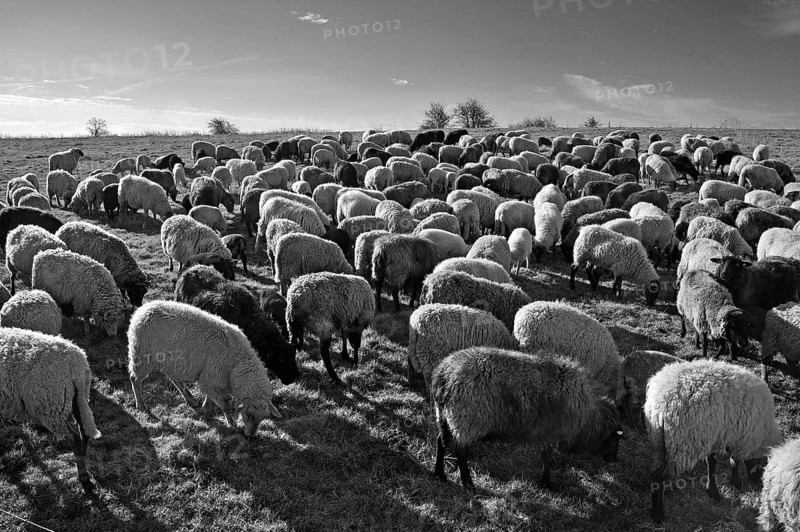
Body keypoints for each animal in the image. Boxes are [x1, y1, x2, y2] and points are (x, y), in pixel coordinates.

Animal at [0, 328, 101, 495]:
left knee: (74, 437)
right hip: (79, 398)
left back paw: (84, 478)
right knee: (84, 431)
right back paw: (81, 463)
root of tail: (76, 366)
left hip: (54, 405)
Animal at [128, 300, 281, 435]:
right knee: (135, 379)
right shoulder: (210, 379)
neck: (237, 362)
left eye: (263, 418)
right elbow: (224, 405)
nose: (249, 436)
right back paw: (141, 405)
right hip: (142, 356)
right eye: (248, 414)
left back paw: (190, 399)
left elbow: (210, 399)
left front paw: (204, 409)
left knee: (174, 379)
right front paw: (231, 424)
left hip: (170, 362)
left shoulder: (212, 380)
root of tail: (142, 309)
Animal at [431, 347, 622, 489]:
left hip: (444, 415)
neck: (589, 416)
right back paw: (468, 483)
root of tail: (444, 374)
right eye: (616, 437)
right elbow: (547, 457)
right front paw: (546, 483)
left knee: (441, 441)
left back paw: (439, 474)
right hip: (467, 419)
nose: (614, 460)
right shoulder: (551, 432)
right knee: (460, 451)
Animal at [645, 359, 783, 524]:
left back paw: (657, 504)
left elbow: (711, 462)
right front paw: (736, 483)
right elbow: (734, 461)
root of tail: (660, 402)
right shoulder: (739, 437)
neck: (762, 430)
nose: (756, 483)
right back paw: (658, 513)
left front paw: (712, 489)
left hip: (658, 441)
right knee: (660, 475)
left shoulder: (716, 434)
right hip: (683, 442)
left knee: (654, 471)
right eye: (764, 466)